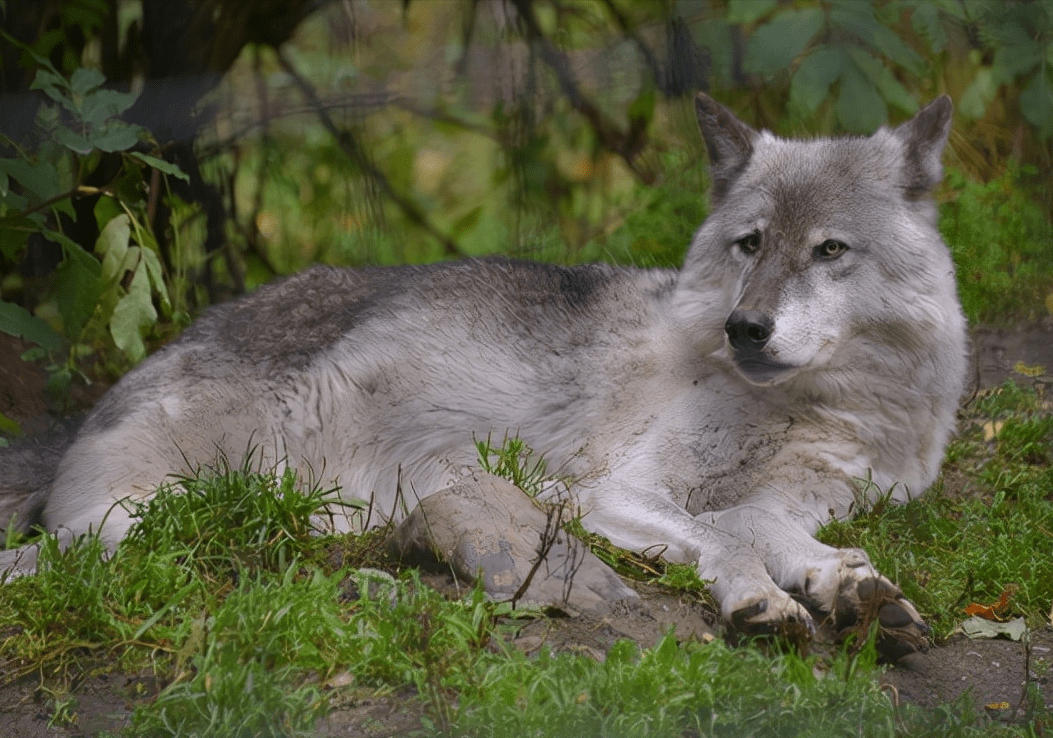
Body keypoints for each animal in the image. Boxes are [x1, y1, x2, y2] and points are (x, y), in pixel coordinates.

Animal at [0, 94, 964, 648]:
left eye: (829, 250)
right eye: (750, 244)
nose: (745, 329)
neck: (812, 407)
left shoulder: (794, 497)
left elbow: (776, 531)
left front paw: (852, 587)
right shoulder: (600, 489)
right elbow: (727, 539)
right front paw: (760, 601)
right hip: (154, 519)